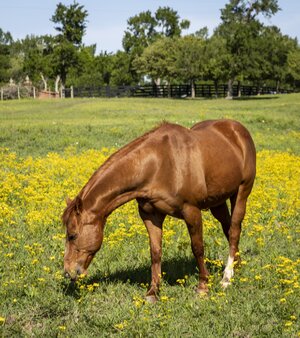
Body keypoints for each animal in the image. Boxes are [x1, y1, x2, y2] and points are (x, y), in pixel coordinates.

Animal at [63, 119, 255, 302]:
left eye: (72, 235)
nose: (68, 272)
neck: (158, 164)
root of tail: (237, 129)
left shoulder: (191, 211)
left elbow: (198, 247)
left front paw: (202, 287)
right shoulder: (150, 215)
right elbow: (155, 252)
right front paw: (153, 292)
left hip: (241, 192)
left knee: (234, 230)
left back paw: (227, 277)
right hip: (218, 202)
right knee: (228, 228)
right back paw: (236, 266)